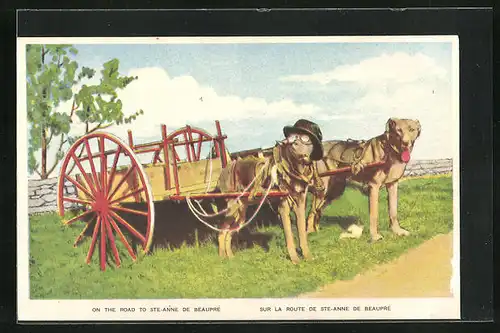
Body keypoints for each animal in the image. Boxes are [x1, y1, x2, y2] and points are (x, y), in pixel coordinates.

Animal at [214, 118, 324, 262]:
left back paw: (231, 257)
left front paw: (308, 257)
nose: (290, 142)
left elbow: (302, 233)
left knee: (228, 233)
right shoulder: (283, 207)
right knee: (222, 232)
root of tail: (226, 167)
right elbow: (289, 236)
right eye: (292, 136)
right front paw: (295, 260)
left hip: (241, 213)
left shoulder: (300, 204)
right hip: (232, 208)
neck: (294, 168)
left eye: (305, 138)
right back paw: (222, 257)